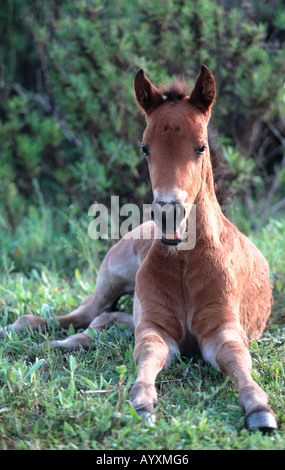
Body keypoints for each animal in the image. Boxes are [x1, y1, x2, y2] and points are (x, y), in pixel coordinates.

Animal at [0, 66, 276, 434]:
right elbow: (148, 352)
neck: (185, 260)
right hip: (110, 279)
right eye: (145, 148)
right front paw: (142, 402)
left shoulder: (222, 328)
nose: (168, 212)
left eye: (201, 147)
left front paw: (259, 409)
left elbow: (236, 357)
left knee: (104, 320)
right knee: (77, 315)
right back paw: (29, 336)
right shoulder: (154, 326)